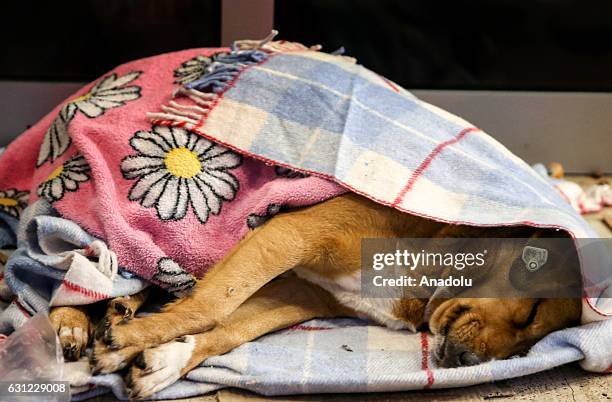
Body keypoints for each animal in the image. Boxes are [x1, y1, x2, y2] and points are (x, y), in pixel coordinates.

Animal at [47, 192, 580, 398]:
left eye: (527, 347)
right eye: (532, 311)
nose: (470, 362)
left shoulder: (299, 292)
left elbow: (229, 327)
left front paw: (164, 359)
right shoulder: (289, 234)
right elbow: (212, 304)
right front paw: (131, 340)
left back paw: (120, 311)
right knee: (87, 268)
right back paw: (74, 322)